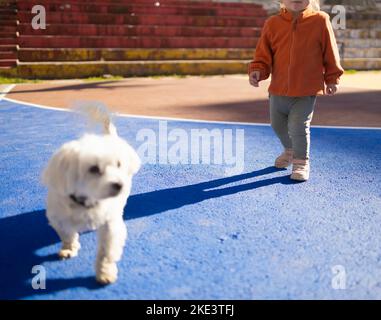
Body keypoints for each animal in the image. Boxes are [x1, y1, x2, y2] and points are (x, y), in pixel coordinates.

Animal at [42, 107, 140, 284]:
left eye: (118, 164)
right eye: (93, 169)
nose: (119, 184)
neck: (86, 203)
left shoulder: (109, 225)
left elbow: (106, 252)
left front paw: (105, 272)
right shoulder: (58, 218)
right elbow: (67, 235)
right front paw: (69, 249)